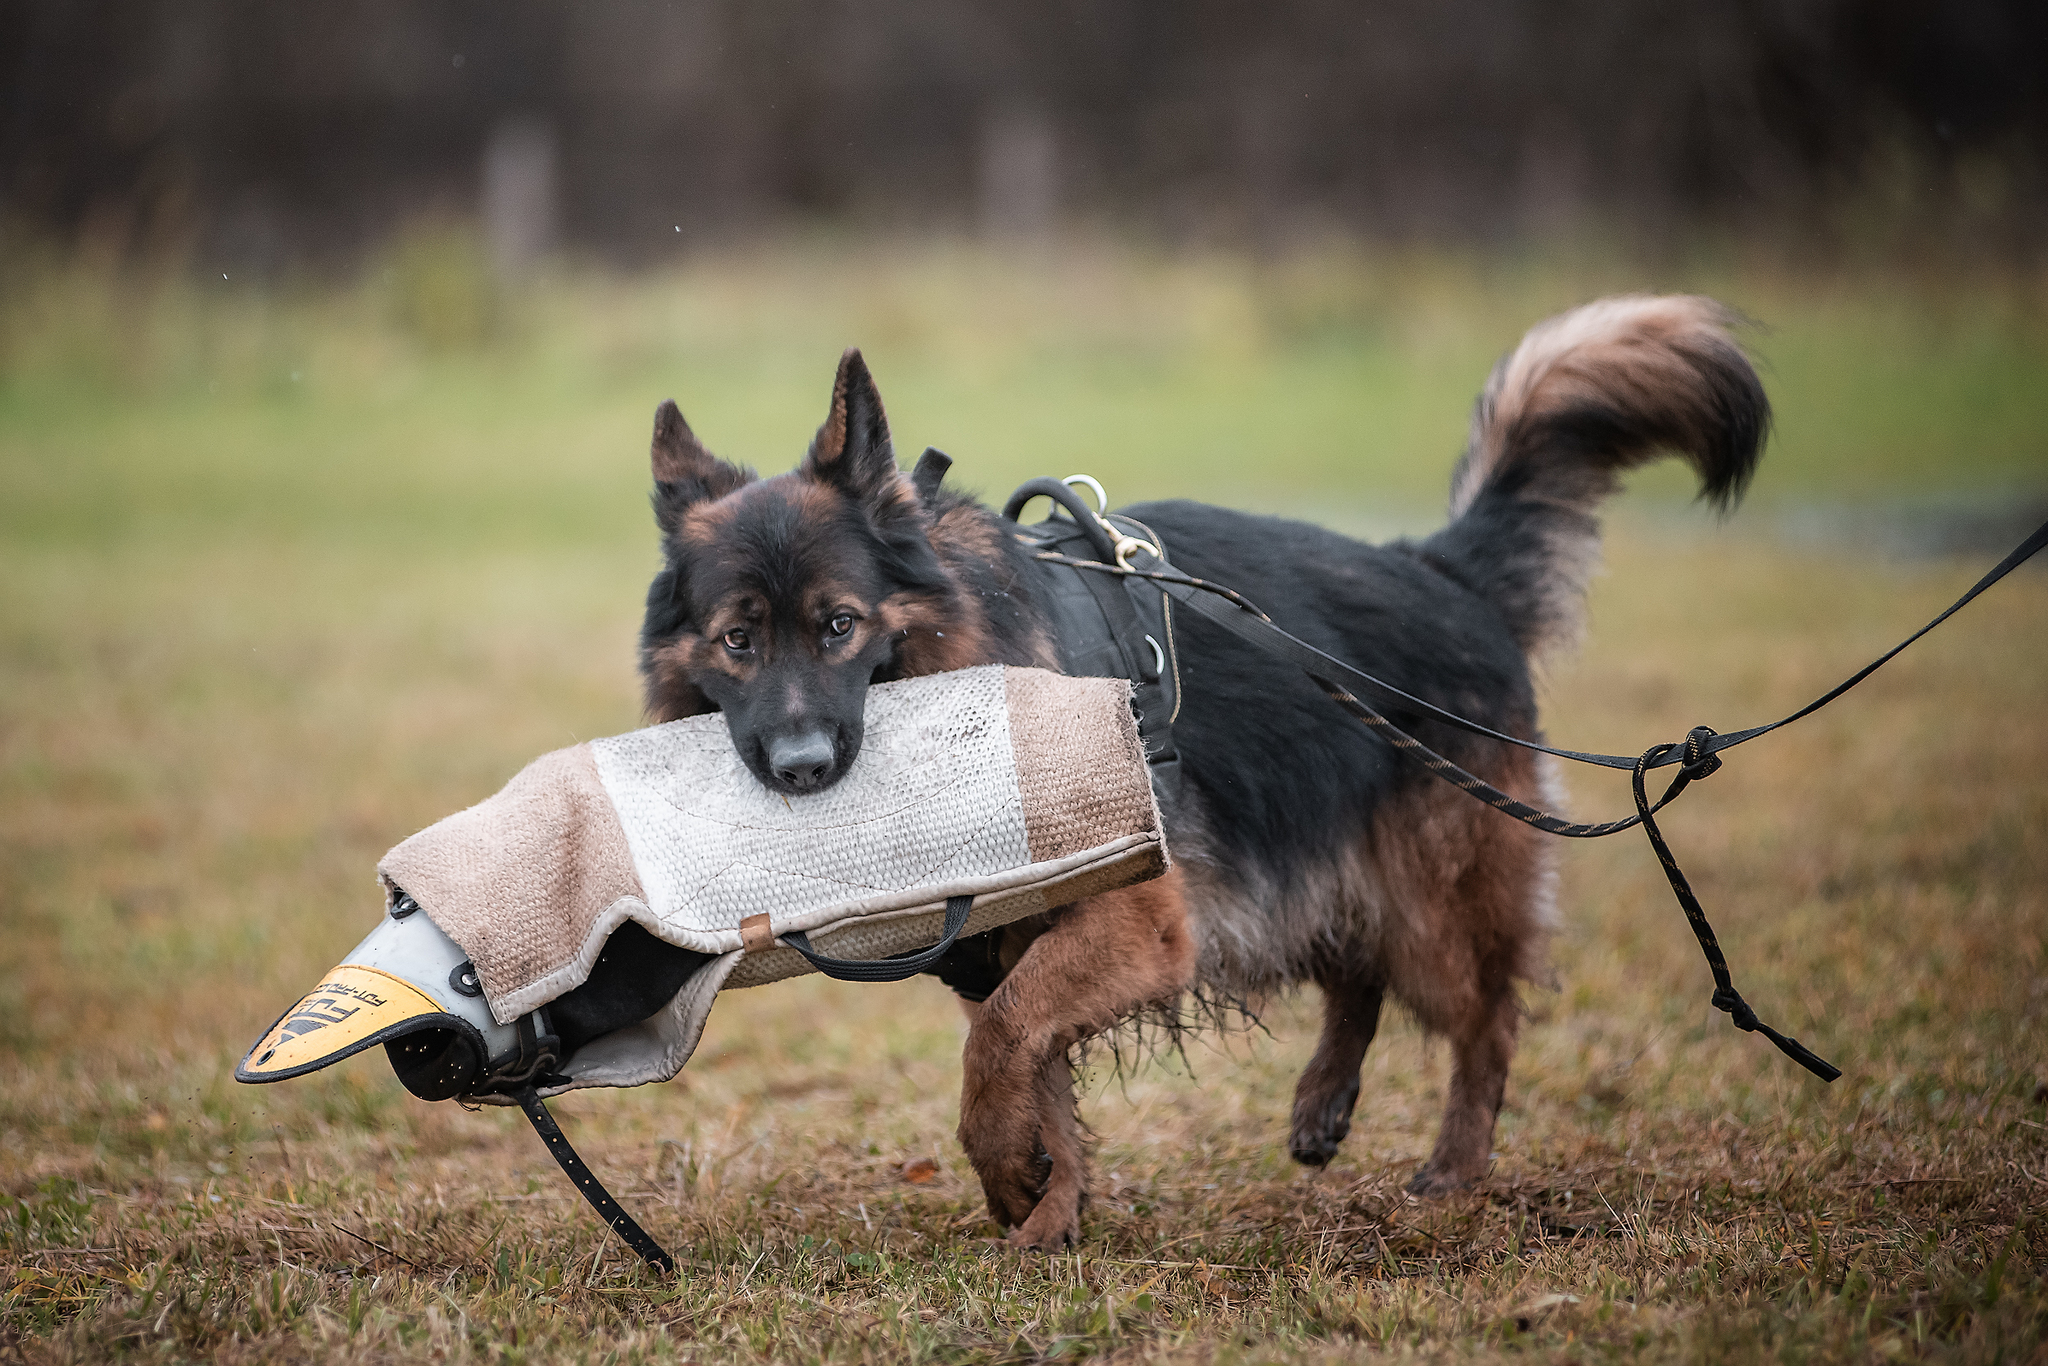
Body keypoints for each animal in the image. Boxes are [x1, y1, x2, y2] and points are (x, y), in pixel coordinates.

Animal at [630, 299, 1769, 1253]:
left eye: (839, 626)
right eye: (738, 640)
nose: (801, 769)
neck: (964, 654)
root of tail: (1440, 569)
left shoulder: (1136, 927)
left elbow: (999, 1048)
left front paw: (1014, 1181)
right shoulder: (1018, 943)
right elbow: (1034, 1072)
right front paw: (1048, 1212)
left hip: (1430, 894)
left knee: (1482, 1015)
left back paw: (1454, 1170)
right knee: (1352, 966)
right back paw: (1323, 1103)